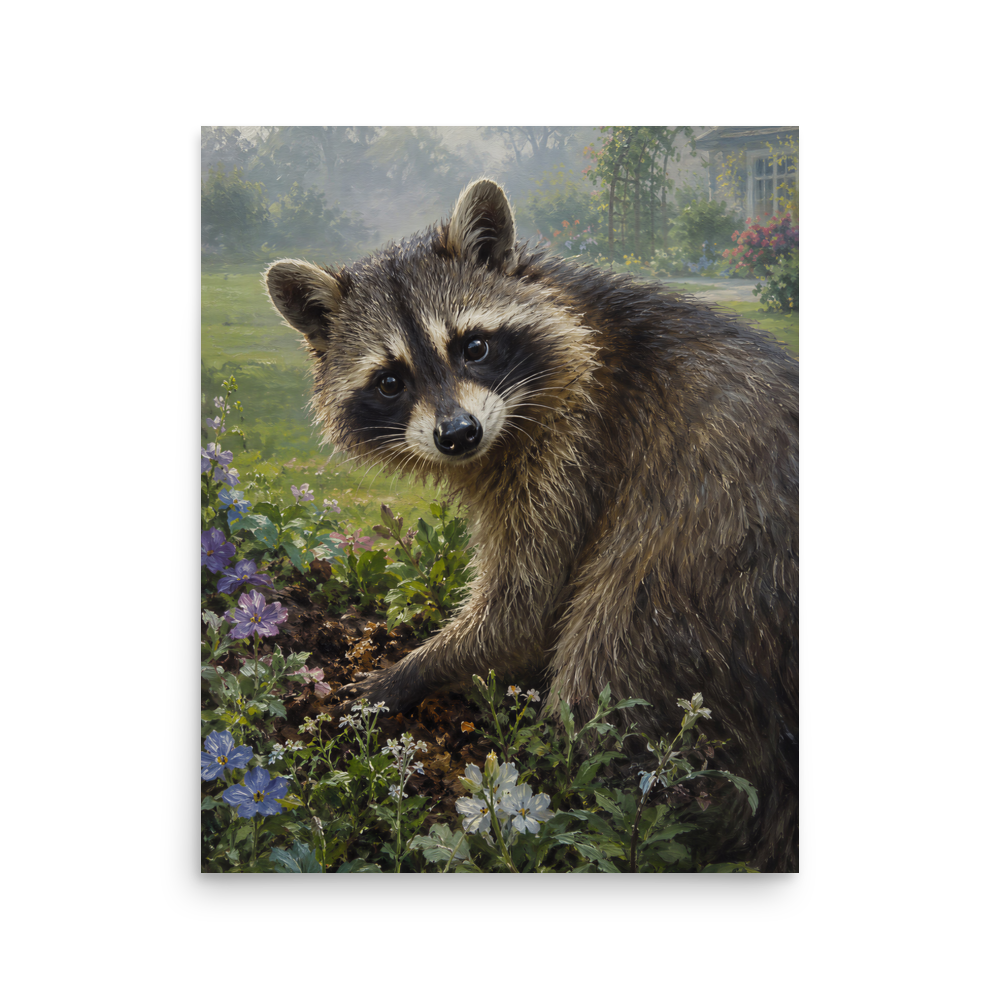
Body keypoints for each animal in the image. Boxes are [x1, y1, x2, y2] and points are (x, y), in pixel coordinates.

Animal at [265, 179, 799, 871]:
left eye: (474, 346)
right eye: (390, 380)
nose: (458, 435)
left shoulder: (578, 449)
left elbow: (524, 609)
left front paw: (409, 672)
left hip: (703, 582)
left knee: (608, 656)